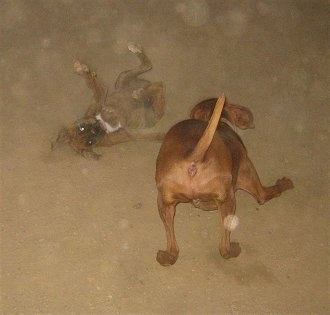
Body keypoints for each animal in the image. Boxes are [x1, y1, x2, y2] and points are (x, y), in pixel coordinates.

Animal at [155, 94, 294, 266]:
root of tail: (193, 159)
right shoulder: (250, 176)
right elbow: (266, 194)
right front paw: (284, 183)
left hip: (164, 203)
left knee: (173, 251)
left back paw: (165, 256)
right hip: (229, 200)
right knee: (224, 249)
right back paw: (233, 250)